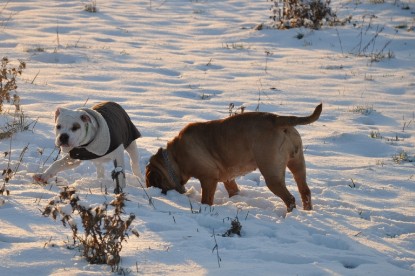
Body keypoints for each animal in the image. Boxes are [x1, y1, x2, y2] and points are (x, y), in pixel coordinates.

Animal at [145, 103, 322, 211]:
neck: (174, 157)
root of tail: (277, 119)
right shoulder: (227, 178)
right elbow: (233, 189)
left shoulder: (208, 178)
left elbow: (206, 199)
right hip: (297, 164)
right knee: (304, 191)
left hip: (272, 174)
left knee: (290, 198)